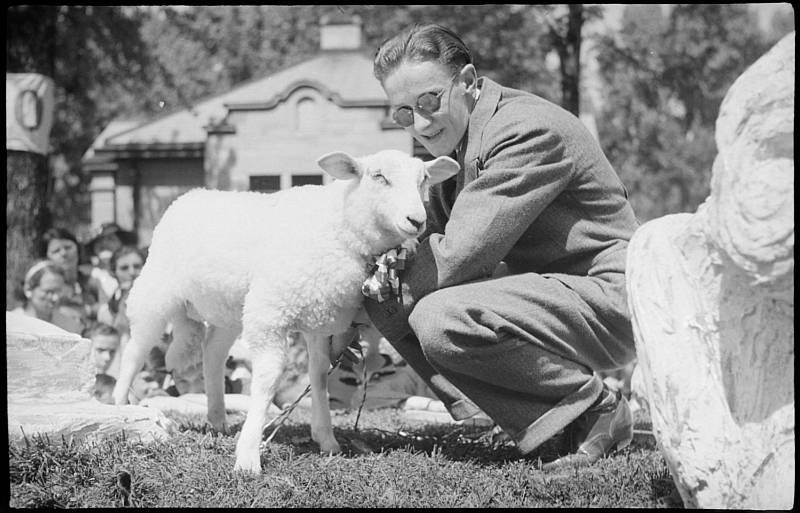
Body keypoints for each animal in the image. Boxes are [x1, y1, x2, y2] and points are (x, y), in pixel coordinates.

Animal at [113, 148, 462, 472]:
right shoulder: (270, 313)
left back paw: (217, 418)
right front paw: (248, 455)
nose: (417, 221)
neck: (338, 226)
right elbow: (268, 379)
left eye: (423, 180)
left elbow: (318, 375)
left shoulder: (321, 318)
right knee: (134, 351)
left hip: (230, 308)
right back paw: (119, 408)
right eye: (378, 176)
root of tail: (189, 195)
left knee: (212, 353)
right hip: (157, 290)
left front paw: (326, 438)